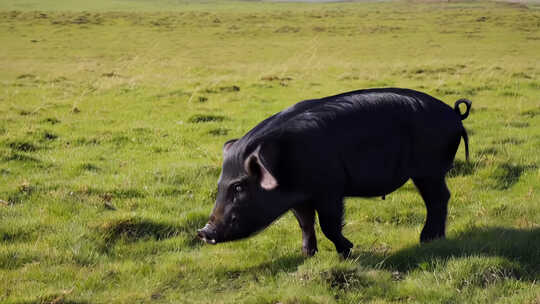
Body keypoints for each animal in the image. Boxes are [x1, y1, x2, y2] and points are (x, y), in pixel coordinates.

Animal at [197, 88, 468, 256]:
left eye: (239, 186)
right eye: (220, 185)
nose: (204, 232)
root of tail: (454, 114)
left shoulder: (330, 189)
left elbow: (329, 224)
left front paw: (347, 250)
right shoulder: (299, 198)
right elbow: (305, 223)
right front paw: (307, 255)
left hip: (429, 169)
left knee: (438, 199)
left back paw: (428, 240)